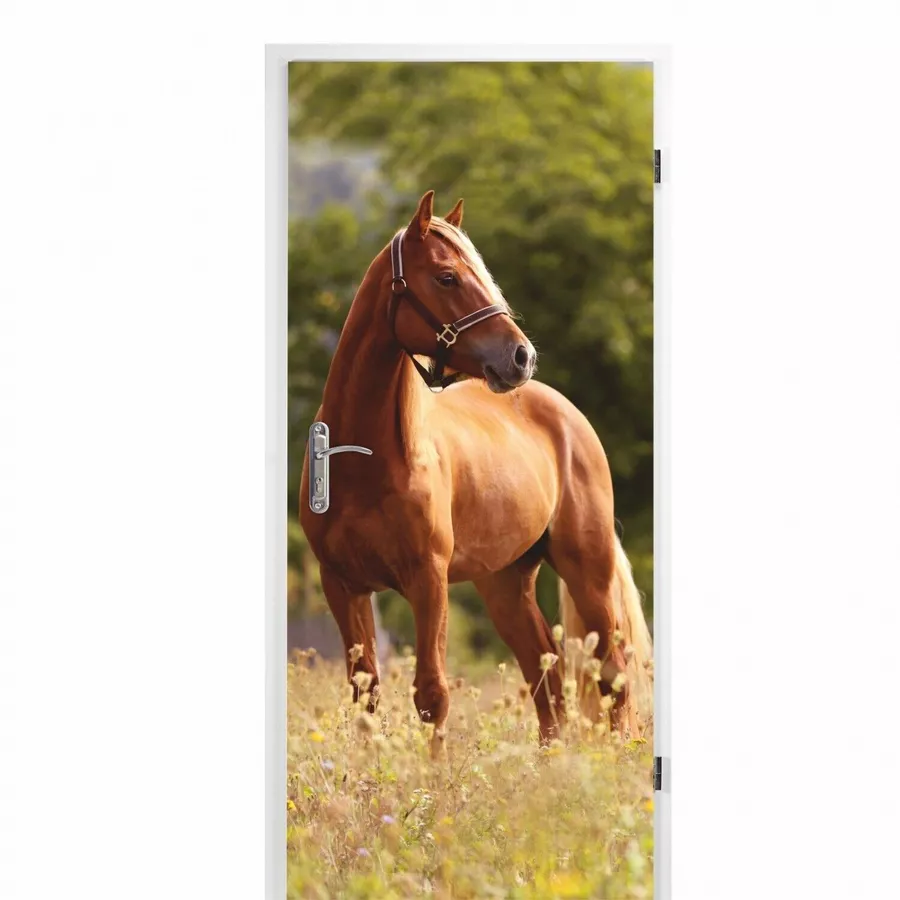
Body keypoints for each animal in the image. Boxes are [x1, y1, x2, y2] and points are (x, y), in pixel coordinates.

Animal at [299, 191, 652, 751]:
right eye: (447, 277)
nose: (521, 356)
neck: (363, 461)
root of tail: (566, 414)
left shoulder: (428, 580)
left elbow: (431, 693)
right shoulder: (342, 585)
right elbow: (365, 696)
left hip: (586, 569)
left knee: (611, 672)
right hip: (505, 583)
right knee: (545, 677)